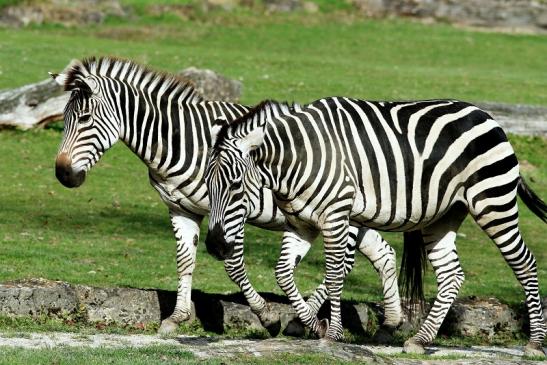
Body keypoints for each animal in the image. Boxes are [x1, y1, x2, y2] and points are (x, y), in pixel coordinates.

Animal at [49, 57, 404, 336]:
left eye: (85, 119)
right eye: (63, 119)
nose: (63, 175)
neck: (179, 141)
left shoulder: (233, 208)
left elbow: (233, 265)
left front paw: (267, 316)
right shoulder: (180, 209)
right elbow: (185, 260)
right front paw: (176, 318)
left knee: (347, 264)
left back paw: (301, 322)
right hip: (359, 214)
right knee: (383, 254)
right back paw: (391, 323)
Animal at [204, 97, 547, 356]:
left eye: (235, 185)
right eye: (208, 186)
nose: (215, 246)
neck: (294, 160)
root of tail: (487, 116)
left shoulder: (335, 215)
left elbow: (333, 275)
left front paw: (332, 333)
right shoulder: (301, 224)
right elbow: (284, 274)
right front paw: (312, 324)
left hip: (493, 202)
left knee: (525, 263)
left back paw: (535, 343)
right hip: (444, 215)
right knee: (451, 275)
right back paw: (420, 340)